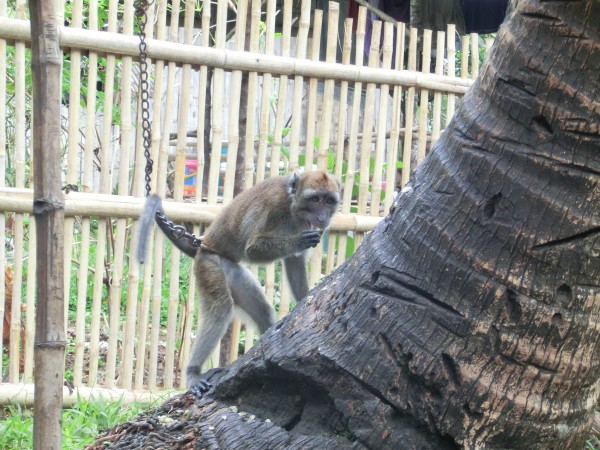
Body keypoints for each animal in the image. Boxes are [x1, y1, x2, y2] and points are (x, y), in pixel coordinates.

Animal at [138, 171, 340, 392]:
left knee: (261, 309)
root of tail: (203, 246)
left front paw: (306, 299)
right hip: (209, 266)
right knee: (220, 308)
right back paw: (193, 372)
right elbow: (253, 249)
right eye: (315, 199)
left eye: (329, 201)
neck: (292, 207)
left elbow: (294, 262)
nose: (323, 218)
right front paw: (299, 241)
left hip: (232, 271)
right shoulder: (274, 209)